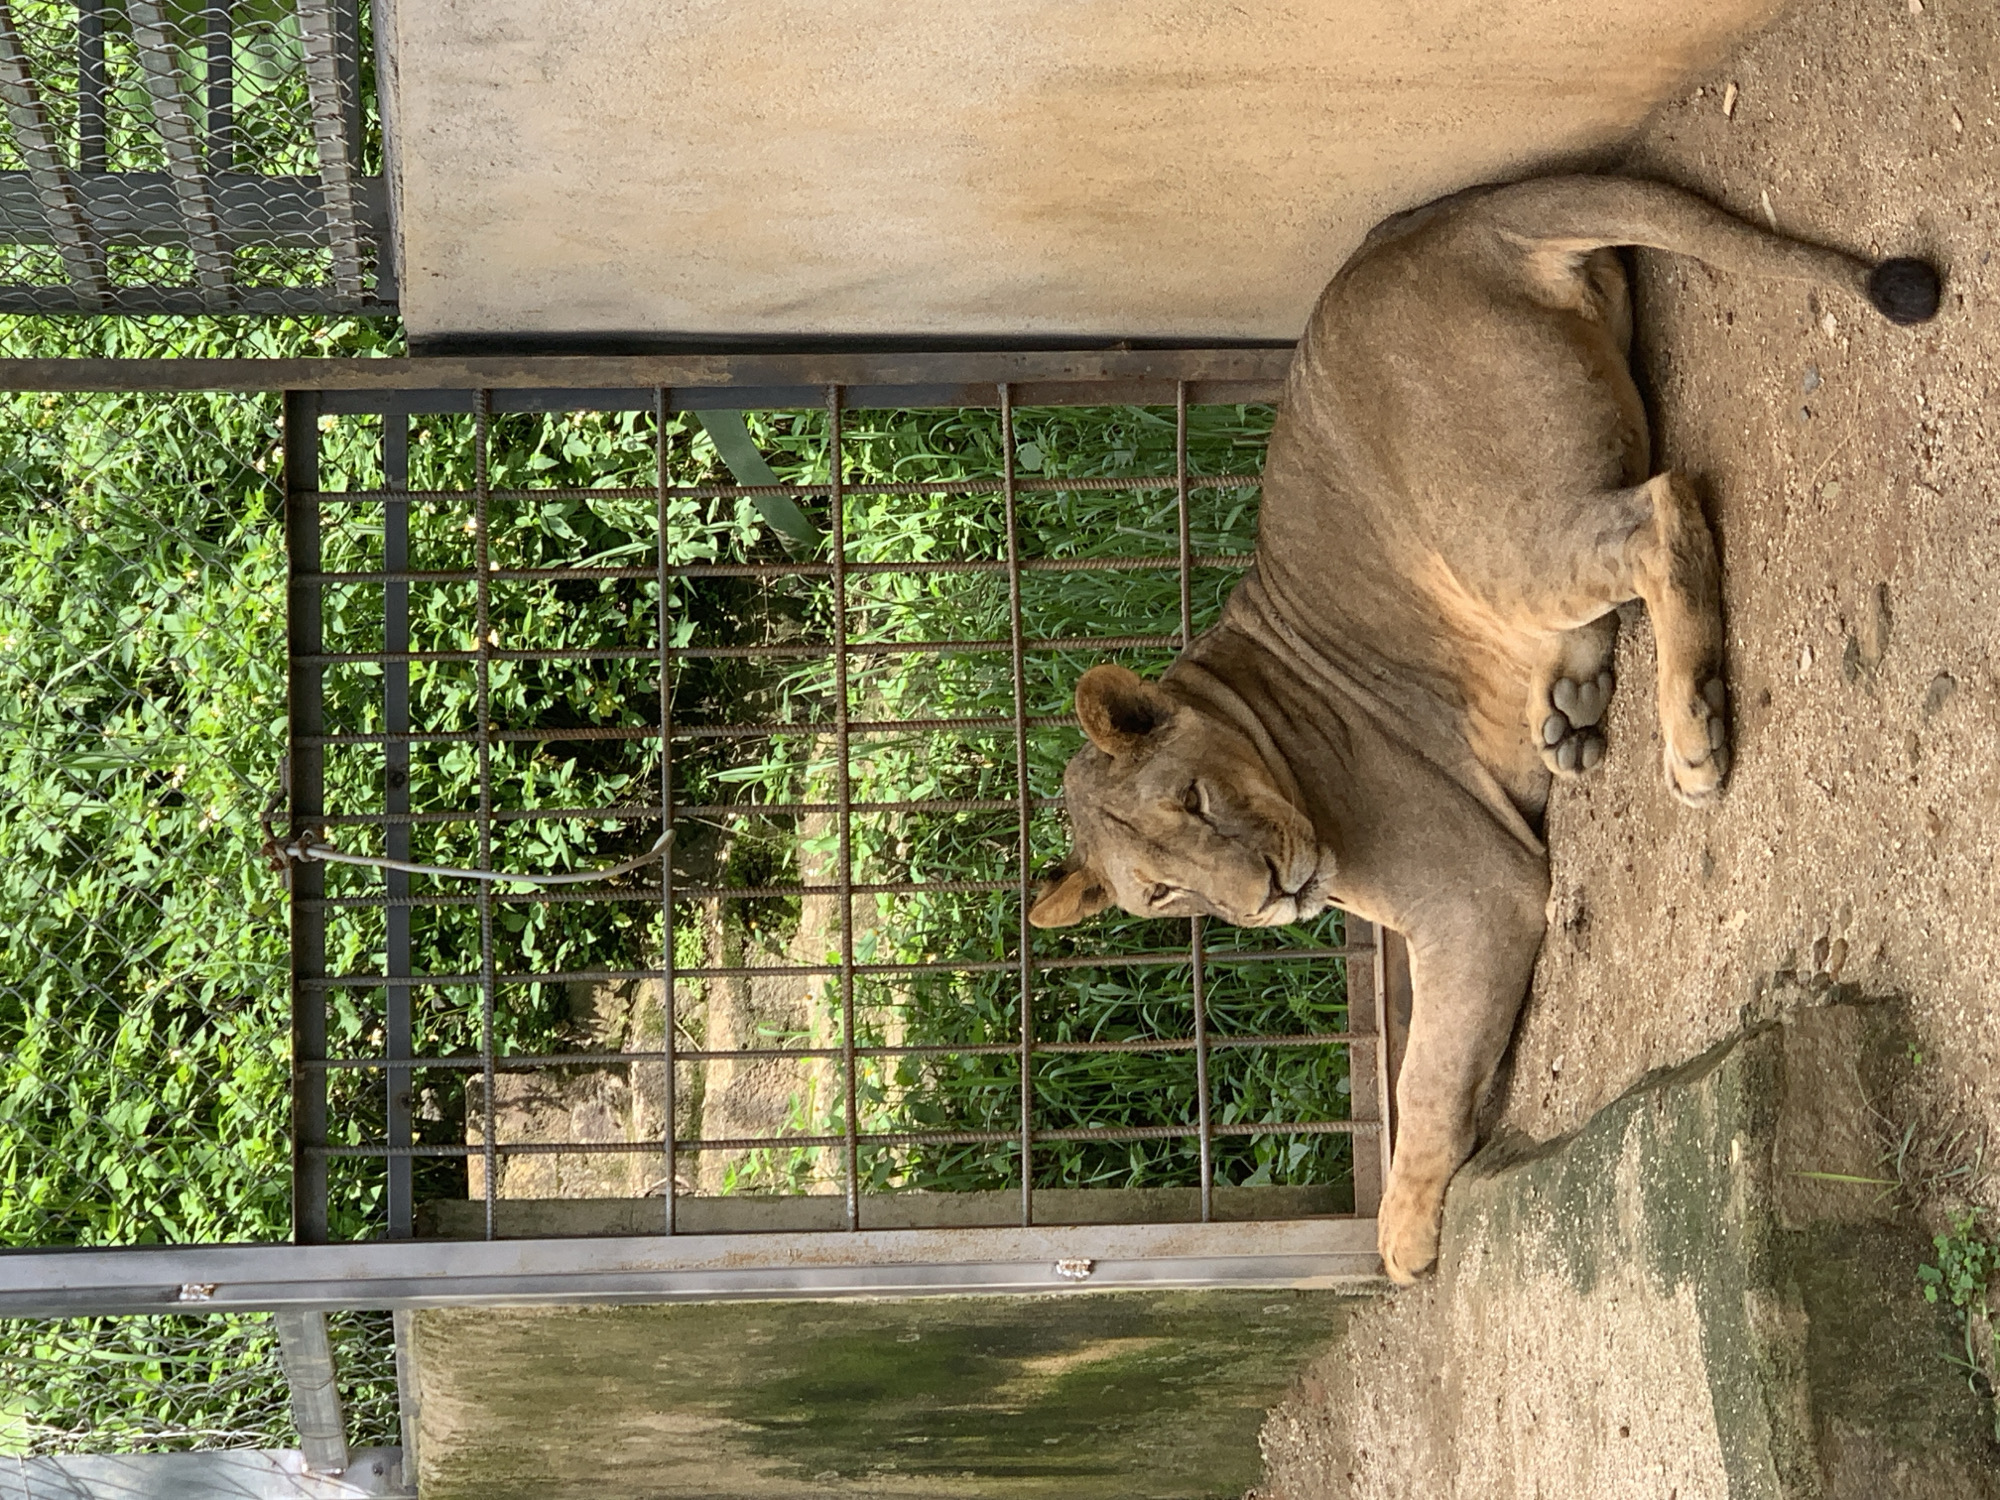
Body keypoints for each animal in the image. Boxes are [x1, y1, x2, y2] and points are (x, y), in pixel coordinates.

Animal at [1027, 176, 1940, 1283]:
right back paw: (1571, 713)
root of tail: (1442, 224)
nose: (1268, 898)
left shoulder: (1476, 896)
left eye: (1193, 801)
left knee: (1659, 511)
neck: (1255, 721)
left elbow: (1421, 1083)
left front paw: (1404, 1228)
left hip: (1490, 535)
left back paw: (1687, 739)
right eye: (1159, 896)